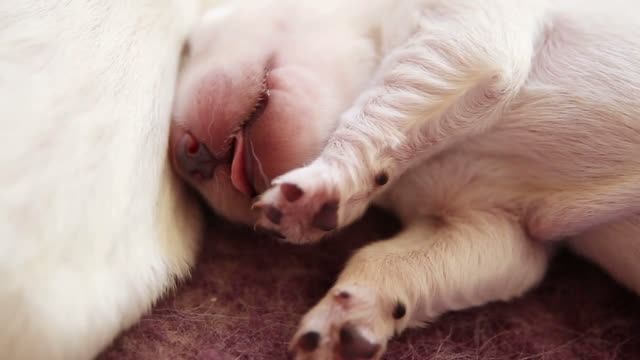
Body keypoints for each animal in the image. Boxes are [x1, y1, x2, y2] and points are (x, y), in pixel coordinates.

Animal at [169, 1, 640, 358]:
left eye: (193, 43)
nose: (183, 156)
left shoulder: (467, 32)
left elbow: (385, 101)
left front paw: (324, 183)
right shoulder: (497, 228)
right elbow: (395, 258)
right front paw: (348, 319)